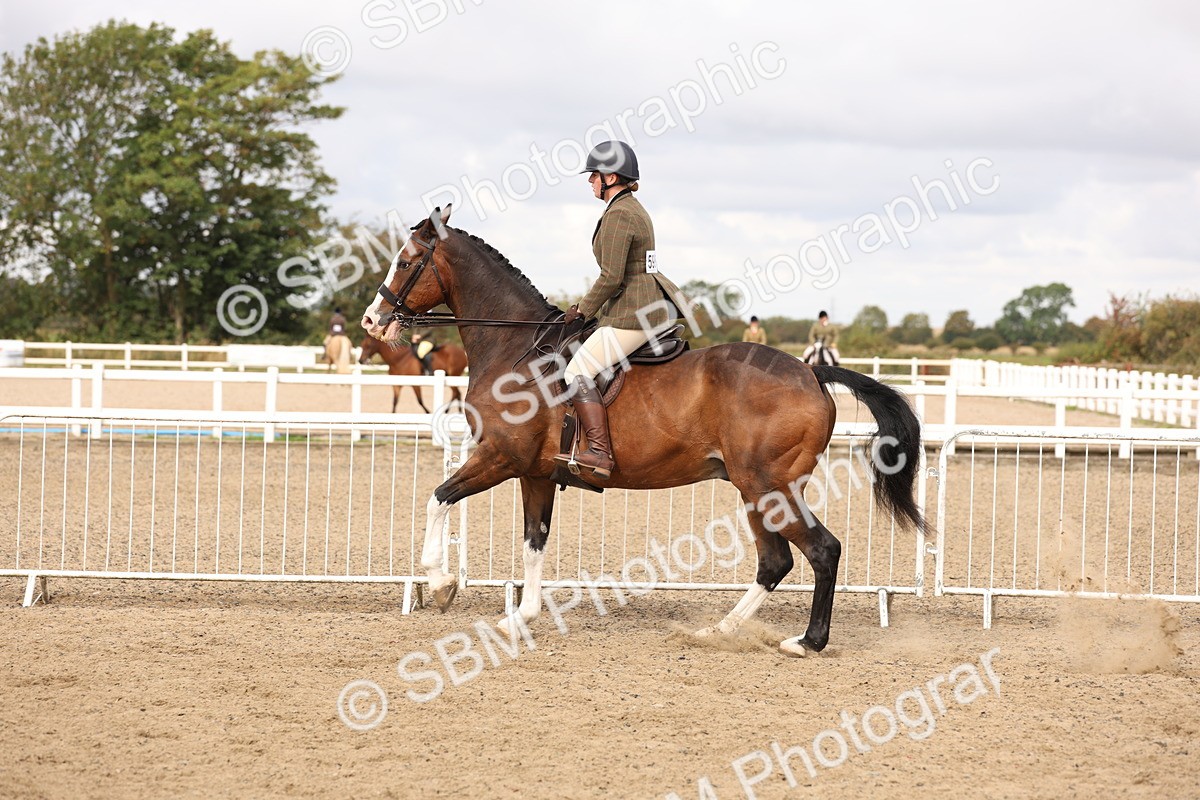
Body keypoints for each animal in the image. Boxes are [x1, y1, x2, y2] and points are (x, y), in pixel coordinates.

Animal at [361, 205, 923, 656]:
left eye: (406, 262)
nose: (372, 320)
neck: (514, 349)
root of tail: (811, 373)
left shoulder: (499, 456)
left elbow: (438, 498)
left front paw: (441, 585)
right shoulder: (535, 473)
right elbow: (533, 543)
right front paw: (521, 618)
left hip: (769, 485)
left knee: (821, 550)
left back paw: (807, 642)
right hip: (756, 489)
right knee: (775, 561)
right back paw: (719, 632)